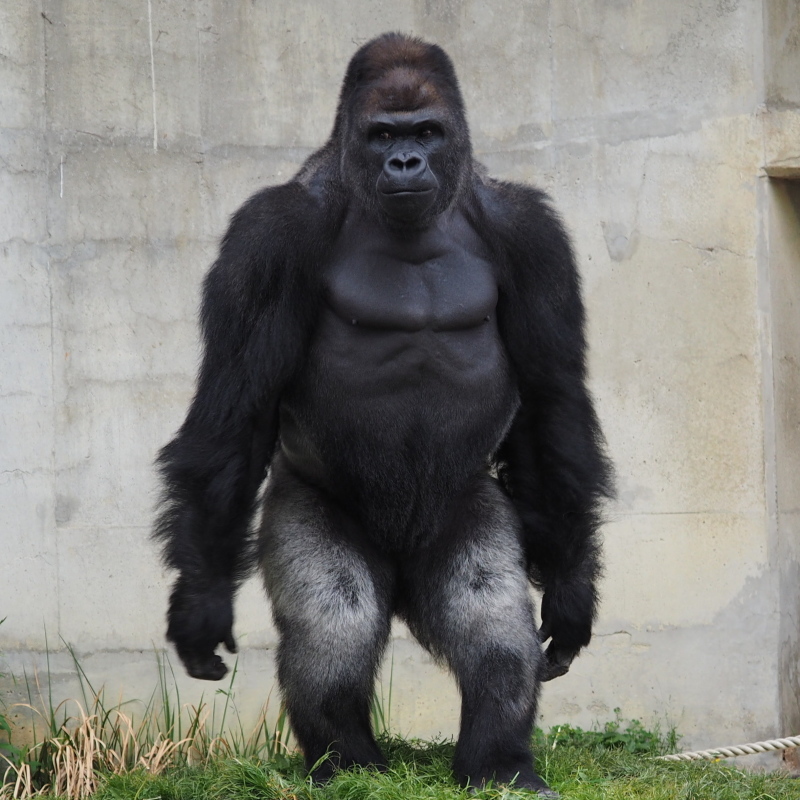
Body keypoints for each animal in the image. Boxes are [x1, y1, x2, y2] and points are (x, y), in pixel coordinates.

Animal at [156, 32, 612, 800]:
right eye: (382, 136)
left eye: (424, 132)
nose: (405, 163)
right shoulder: (267, 236)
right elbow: (236, 412)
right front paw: (199, 603)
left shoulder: (533, 235)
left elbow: (552, 402)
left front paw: (572, 593)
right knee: (334, 626)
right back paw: (347, 763)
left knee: (490, 626)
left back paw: (500, 764)